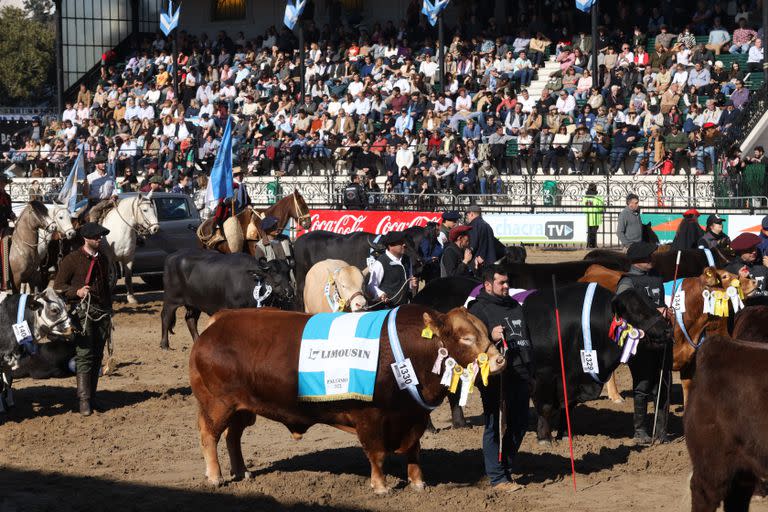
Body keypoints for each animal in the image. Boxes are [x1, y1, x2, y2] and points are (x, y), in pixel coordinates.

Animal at [160, 250, 296, 350]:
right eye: (273, 272)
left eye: (287, 272)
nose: (288, 291)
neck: (250, 281)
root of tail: (171, 257)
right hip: (170, 300)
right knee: (166, 317)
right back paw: (164, 344)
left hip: (195, 303)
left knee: (190, 320)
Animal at [189, 304, 508, 492]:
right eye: (466, 338)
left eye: (484, 332)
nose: (499, 360)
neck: (407, 351)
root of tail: (218, 322)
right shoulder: (370, 417)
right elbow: (377, 453)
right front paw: (381, 486)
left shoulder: (413, 417)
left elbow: (413, 451)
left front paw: (418, 483)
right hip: (217, 405)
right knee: (209, 436)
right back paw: (215, 476)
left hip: (243, 409)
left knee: (233, 437)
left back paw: (242, 471)